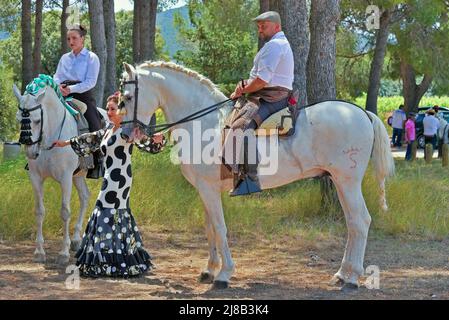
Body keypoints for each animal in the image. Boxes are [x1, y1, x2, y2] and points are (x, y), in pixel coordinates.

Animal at [13, 81, 105, 264]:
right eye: (19, 119)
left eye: (37, 120)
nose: (31, 152)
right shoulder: (36, 178)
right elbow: (39, 211)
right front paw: (39, 252)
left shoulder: (65, 178)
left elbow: (64, 212)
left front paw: (63, 253)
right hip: (78, 176)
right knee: (85, 196)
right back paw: (76, 240)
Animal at [120, 62, 396, 290]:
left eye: (128, 97)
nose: (124, 134)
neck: (203, 123)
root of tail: (362, 113)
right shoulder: (205, 189)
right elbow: (209, 228)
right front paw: (209, 270)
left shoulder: (208, 189)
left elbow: (219, 228)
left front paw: (223, 275)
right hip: (340, 183)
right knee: (352, 223)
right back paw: (342, 274)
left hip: (348, 182)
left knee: (360, 221)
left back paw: (351, 279)